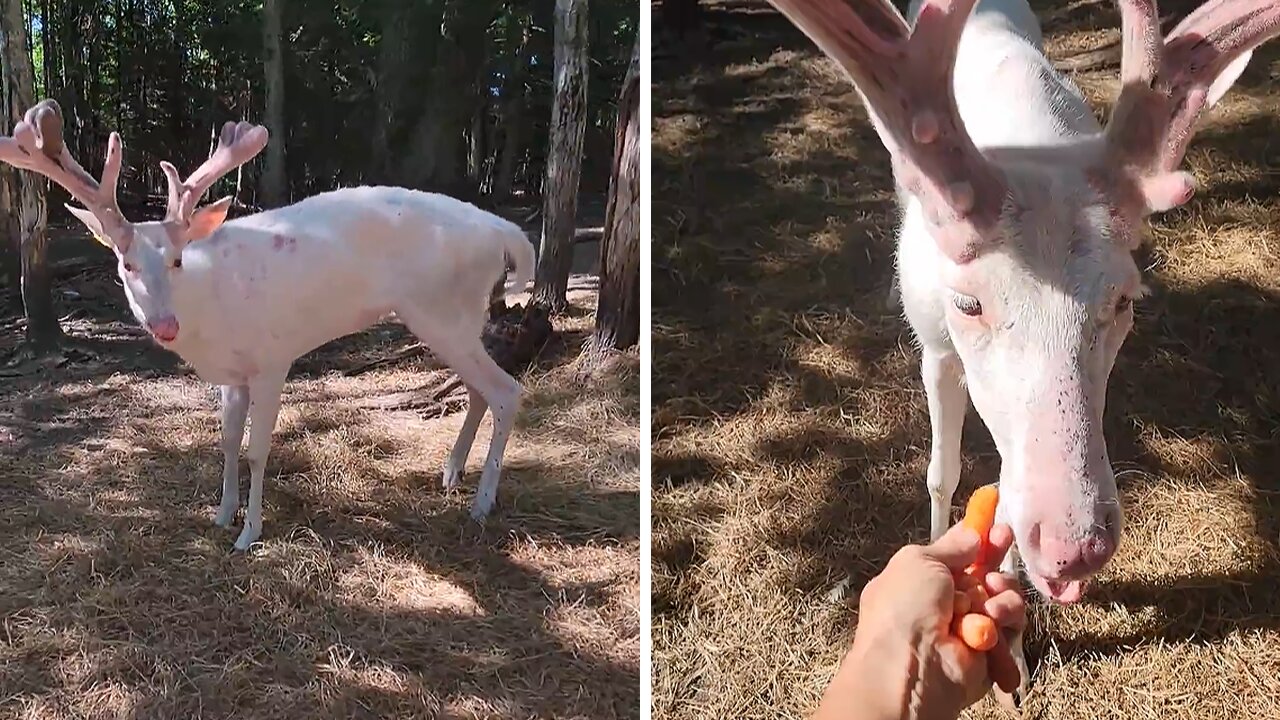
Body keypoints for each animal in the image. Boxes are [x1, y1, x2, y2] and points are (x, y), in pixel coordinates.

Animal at [0, 100, 535, 552]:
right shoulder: (232, 375)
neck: (212, 311)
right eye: (125, 264)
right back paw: (452, 472)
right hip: (451, 317)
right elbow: (227, 441)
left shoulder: (274, 357)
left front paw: (249, 532)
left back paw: (481, 502)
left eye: (176, 259)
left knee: (507, 389)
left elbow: (257, 449)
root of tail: (506, 232)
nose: (166, 325)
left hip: (443, 309)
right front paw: (221, 514)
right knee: (480, 388)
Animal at [763, 0, 1280, 707]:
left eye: (1125, 299)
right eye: (968, 303)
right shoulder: (935, 345)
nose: (1075, 546)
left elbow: (1008, 489)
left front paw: (1013, 654)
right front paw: (940, 555)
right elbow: (942, 471)